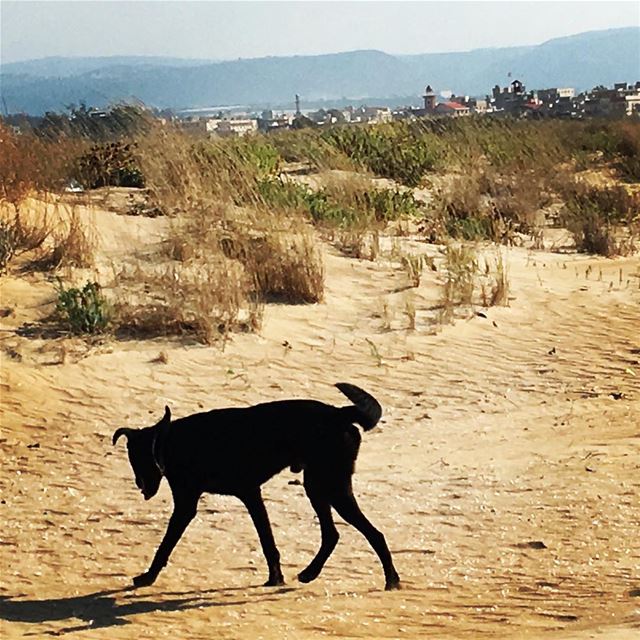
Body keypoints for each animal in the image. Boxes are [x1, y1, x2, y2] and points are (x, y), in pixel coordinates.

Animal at [111, 382, 400, 592]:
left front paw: (148, 576)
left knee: (373, 534)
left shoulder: (189, 506)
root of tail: (338, 412)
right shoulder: (250, 495)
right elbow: (267, 541)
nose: (140, 485)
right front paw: (276, 577)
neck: (171, 441)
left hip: (332, 487)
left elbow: (165, 546)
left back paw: (392, 579)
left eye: (139, 460)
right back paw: (311, 573)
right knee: (332, 534)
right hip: (318, 486)